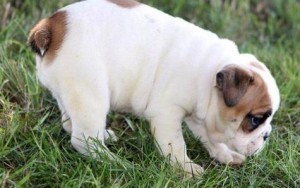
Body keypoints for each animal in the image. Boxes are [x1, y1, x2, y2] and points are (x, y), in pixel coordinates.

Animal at [28, 0, 278, 174]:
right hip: (91, 94)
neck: (211, 72)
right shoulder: (167, 115)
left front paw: (224, 155)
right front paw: (185, 168)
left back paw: (104, 137)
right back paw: (116, 163)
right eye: (255, 120)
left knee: (71, 123)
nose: (267, 135)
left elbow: (209, 139)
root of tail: (51, 27)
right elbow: (175, 145)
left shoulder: (201, 117)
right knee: (83, 139)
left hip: (70, 93)